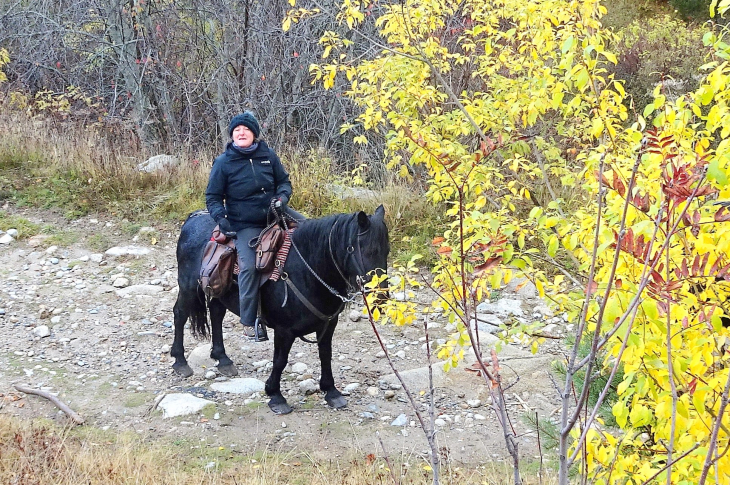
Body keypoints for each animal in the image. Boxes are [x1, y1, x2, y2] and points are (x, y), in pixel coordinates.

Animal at [171, 204, 390, 412]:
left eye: (386, 251)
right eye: (367, 250)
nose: (381, 296)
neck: (306, 271)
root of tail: (193, 217)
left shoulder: (328, 325)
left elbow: (325, 354)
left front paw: (331, 391)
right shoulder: (284, 330)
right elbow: (280, 360)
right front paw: (275, 395)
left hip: (220, 292)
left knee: (216, 314)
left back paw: (223, 359)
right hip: (188, 287)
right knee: (180, 314)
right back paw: (180, 361)